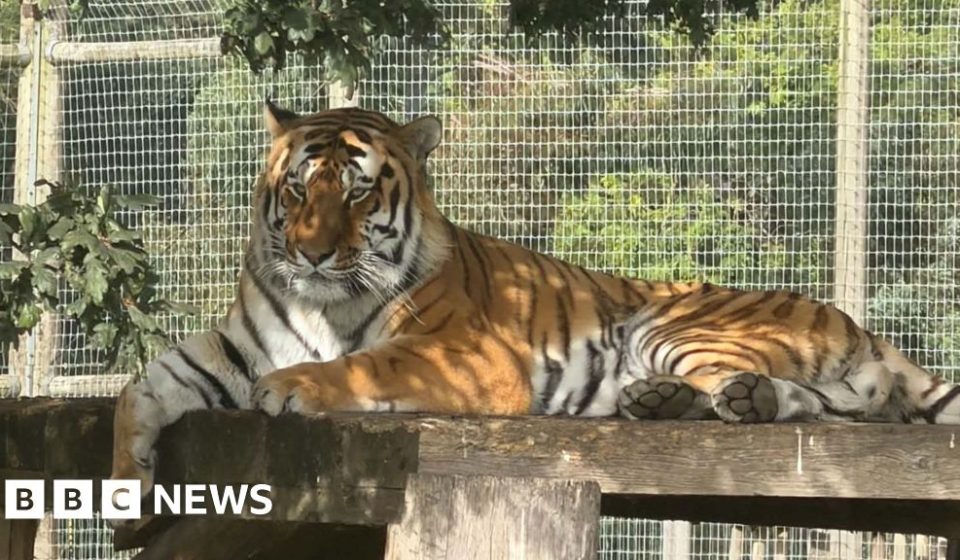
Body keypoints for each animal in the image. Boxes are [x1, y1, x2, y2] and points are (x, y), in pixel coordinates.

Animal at [112, 103, 960, 496]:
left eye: (356, 192)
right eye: (296, 190)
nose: (314, 251)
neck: (321, 301)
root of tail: (853, 321)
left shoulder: (464, 357)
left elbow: (361, 366)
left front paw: (292, 386)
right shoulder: (224, 349)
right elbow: (139, 390)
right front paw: (128, 498)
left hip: (673, 323)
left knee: (813, 403)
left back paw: (717, 401)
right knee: (838, 406)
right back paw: (667, 403)